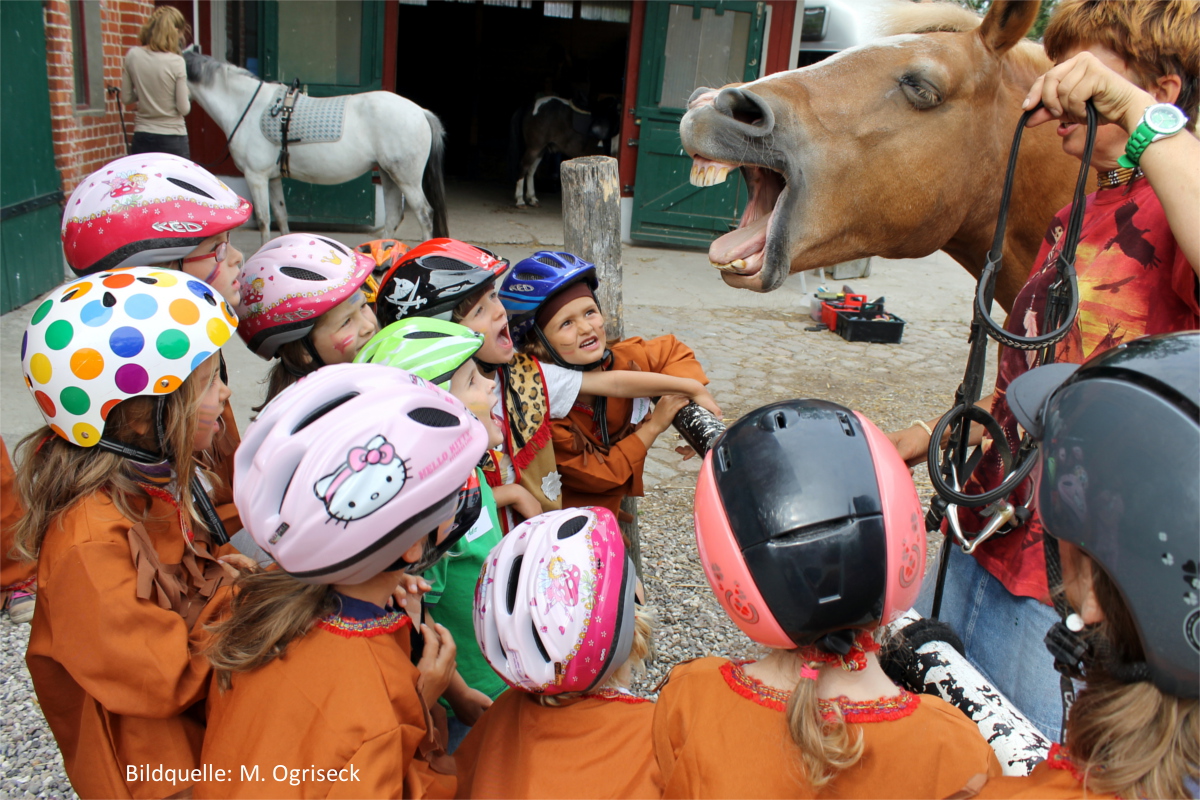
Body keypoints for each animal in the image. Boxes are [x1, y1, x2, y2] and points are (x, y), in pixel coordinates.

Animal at [184, 51, 448, 244]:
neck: (246, 107)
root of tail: (421, 112)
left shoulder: (255, 176)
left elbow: (263, 220)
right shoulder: (272, 178)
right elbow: (281, 216)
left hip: (406, 179)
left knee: (425, 214)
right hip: (388, 174)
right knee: (393, 217)